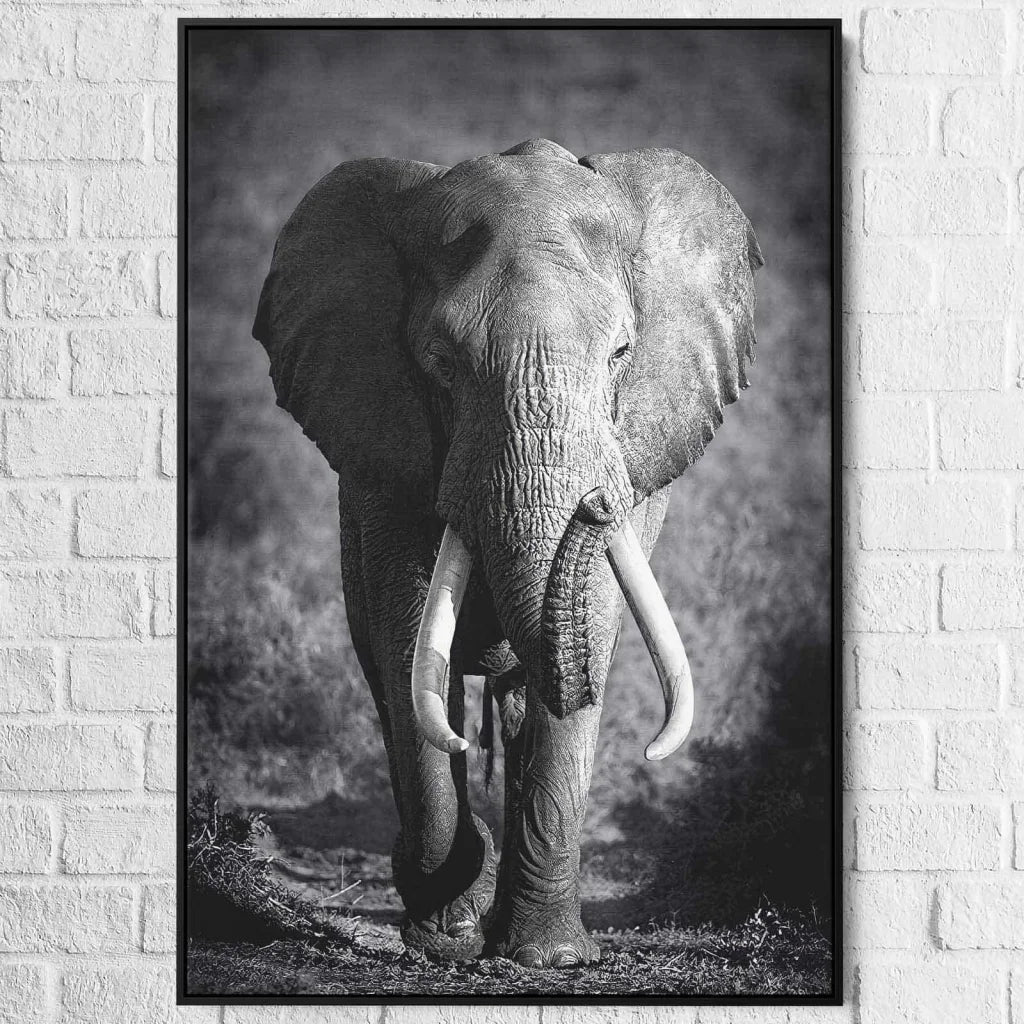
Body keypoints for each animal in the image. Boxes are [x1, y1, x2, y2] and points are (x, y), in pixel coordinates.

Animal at [253, 138, 762, 968]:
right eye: (441, 363)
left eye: (622, 353)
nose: (593, 505)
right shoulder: (385, 459)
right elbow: (407, 647)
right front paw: (444, 937)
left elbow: (588, 636)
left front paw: (550, 957)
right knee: (397, 680)